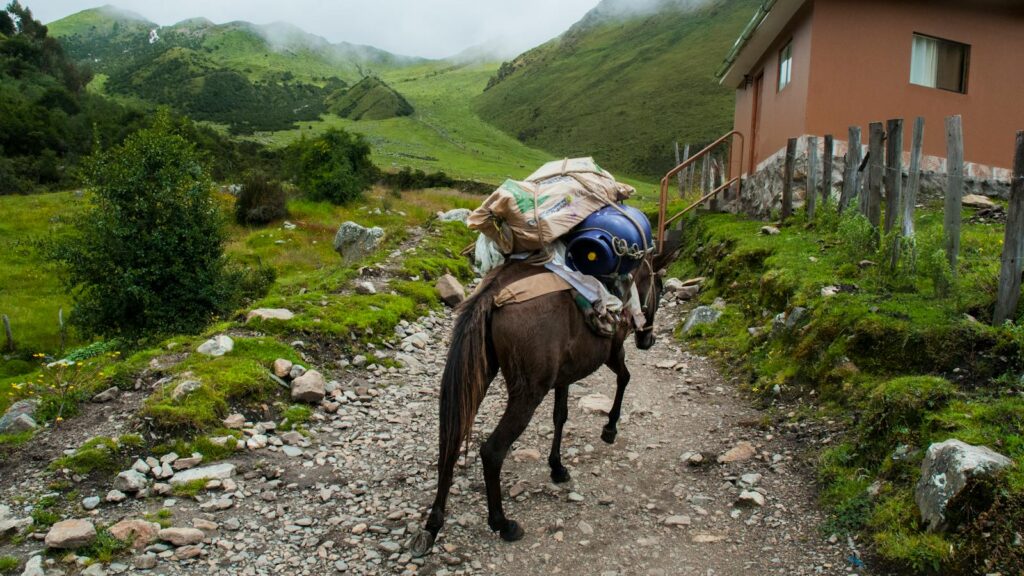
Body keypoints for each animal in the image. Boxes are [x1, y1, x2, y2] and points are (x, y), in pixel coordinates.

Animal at [409, 241, 680, 557]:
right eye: (659, 287)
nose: (648, 340)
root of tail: (491, 296)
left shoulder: (564, 376)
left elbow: (560, 416)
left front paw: (557, 467)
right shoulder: (613, 352)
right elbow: (625, 378)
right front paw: (609, 429)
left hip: (478, 375)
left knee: (450, 441)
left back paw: (432, 525)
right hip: (528, 392)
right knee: (492, 451)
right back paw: (503, 524)